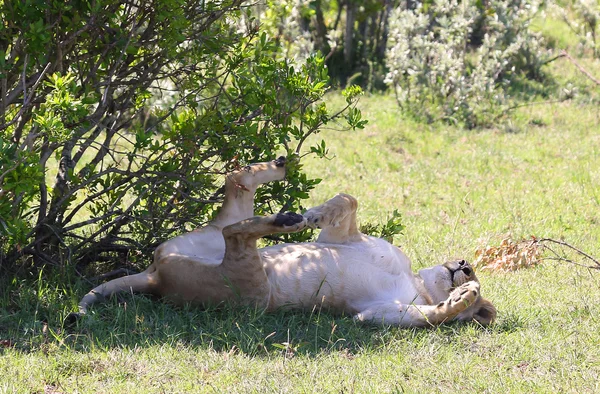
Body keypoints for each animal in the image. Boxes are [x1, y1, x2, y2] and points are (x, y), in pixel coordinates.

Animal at [68, 157, 494, 326]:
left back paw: (283, 217)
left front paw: (459, 301)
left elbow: (430, 316)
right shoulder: (345, 238)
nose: (466, 267)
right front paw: (317, 212)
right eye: (474, 268)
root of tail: (156, 276)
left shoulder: (375, 314)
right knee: (235, 188)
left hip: (251, 289)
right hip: (219, 237)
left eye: (478, 279)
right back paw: (283, 185)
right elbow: (348, 201)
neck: (419, 283)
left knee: (237, 229)